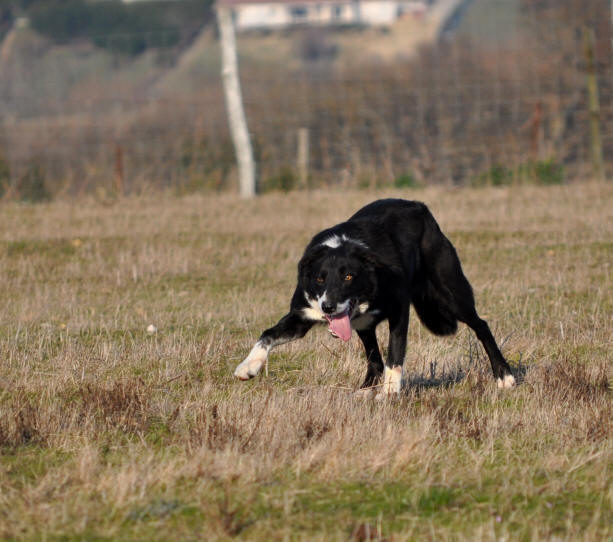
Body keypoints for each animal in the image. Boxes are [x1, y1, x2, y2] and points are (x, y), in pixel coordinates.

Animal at [234, 200, 516, 400]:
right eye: (319, 278)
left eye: (348, 276)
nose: (329, 307)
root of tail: (419, 206)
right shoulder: (302, 315)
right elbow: (267, 334)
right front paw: (248, 366)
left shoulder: (399, 311)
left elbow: (395, 353)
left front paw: (390, 392)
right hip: (364, 326)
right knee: (373, 358)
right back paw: (364, 389)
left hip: (451, 293)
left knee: (481, 325)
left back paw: (504, 375)